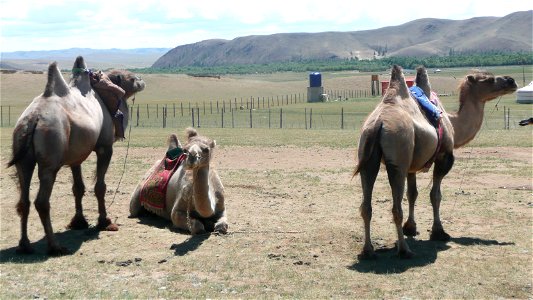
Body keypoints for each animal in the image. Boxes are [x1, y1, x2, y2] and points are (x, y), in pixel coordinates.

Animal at [8, 56, 145, 255]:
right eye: (130, 77)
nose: (141, 80)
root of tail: (33, 118)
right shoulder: (104, 147)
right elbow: (100, 186)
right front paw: (105, 222)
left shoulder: (76, 156)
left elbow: (78, 188)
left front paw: (79, 222)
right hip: (50, 159)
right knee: (42, 201)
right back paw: (55, 246)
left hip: (23, 157)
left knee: (23, 199)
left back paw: (24, 245)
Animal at [354, 65, 516, 258]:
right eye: (489, 79)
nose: (511, 81)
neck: (452, 122)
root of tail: (378, 123)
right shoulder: (444, 156)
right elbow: (435, 195)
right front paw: (439, 232)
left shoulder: (412, 166)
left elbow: (413, 194)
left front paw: (411, 228)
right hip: (398, 159)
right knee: (396, 207)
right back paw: (404, 250)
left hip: (368, 156)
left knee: (366, 205)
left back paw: (368, 250)